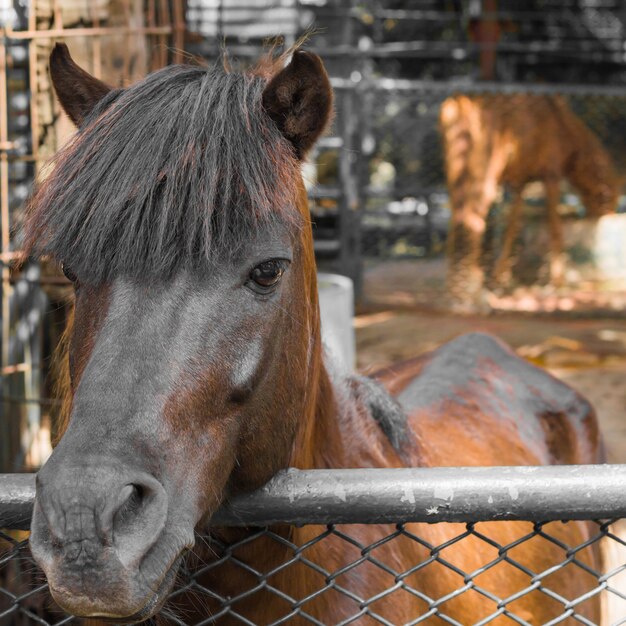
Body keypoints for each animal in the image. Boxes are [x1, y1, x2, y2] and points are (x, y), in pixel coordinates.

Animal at [438, 91, 620, 308]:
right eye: (609, 200)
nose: (609, 216)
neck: (567, 126)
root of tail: (459, 101)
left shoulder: (519, 183)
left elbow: (511, 229)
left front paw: (499, 280)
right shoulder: (551, 175)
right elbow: (555, 229)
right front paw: (558, 282)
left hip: (457, 175)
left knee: (457, 220)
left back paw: (457, 290)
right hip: (484, 178)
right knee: (472, 221)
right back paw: (471, 293)